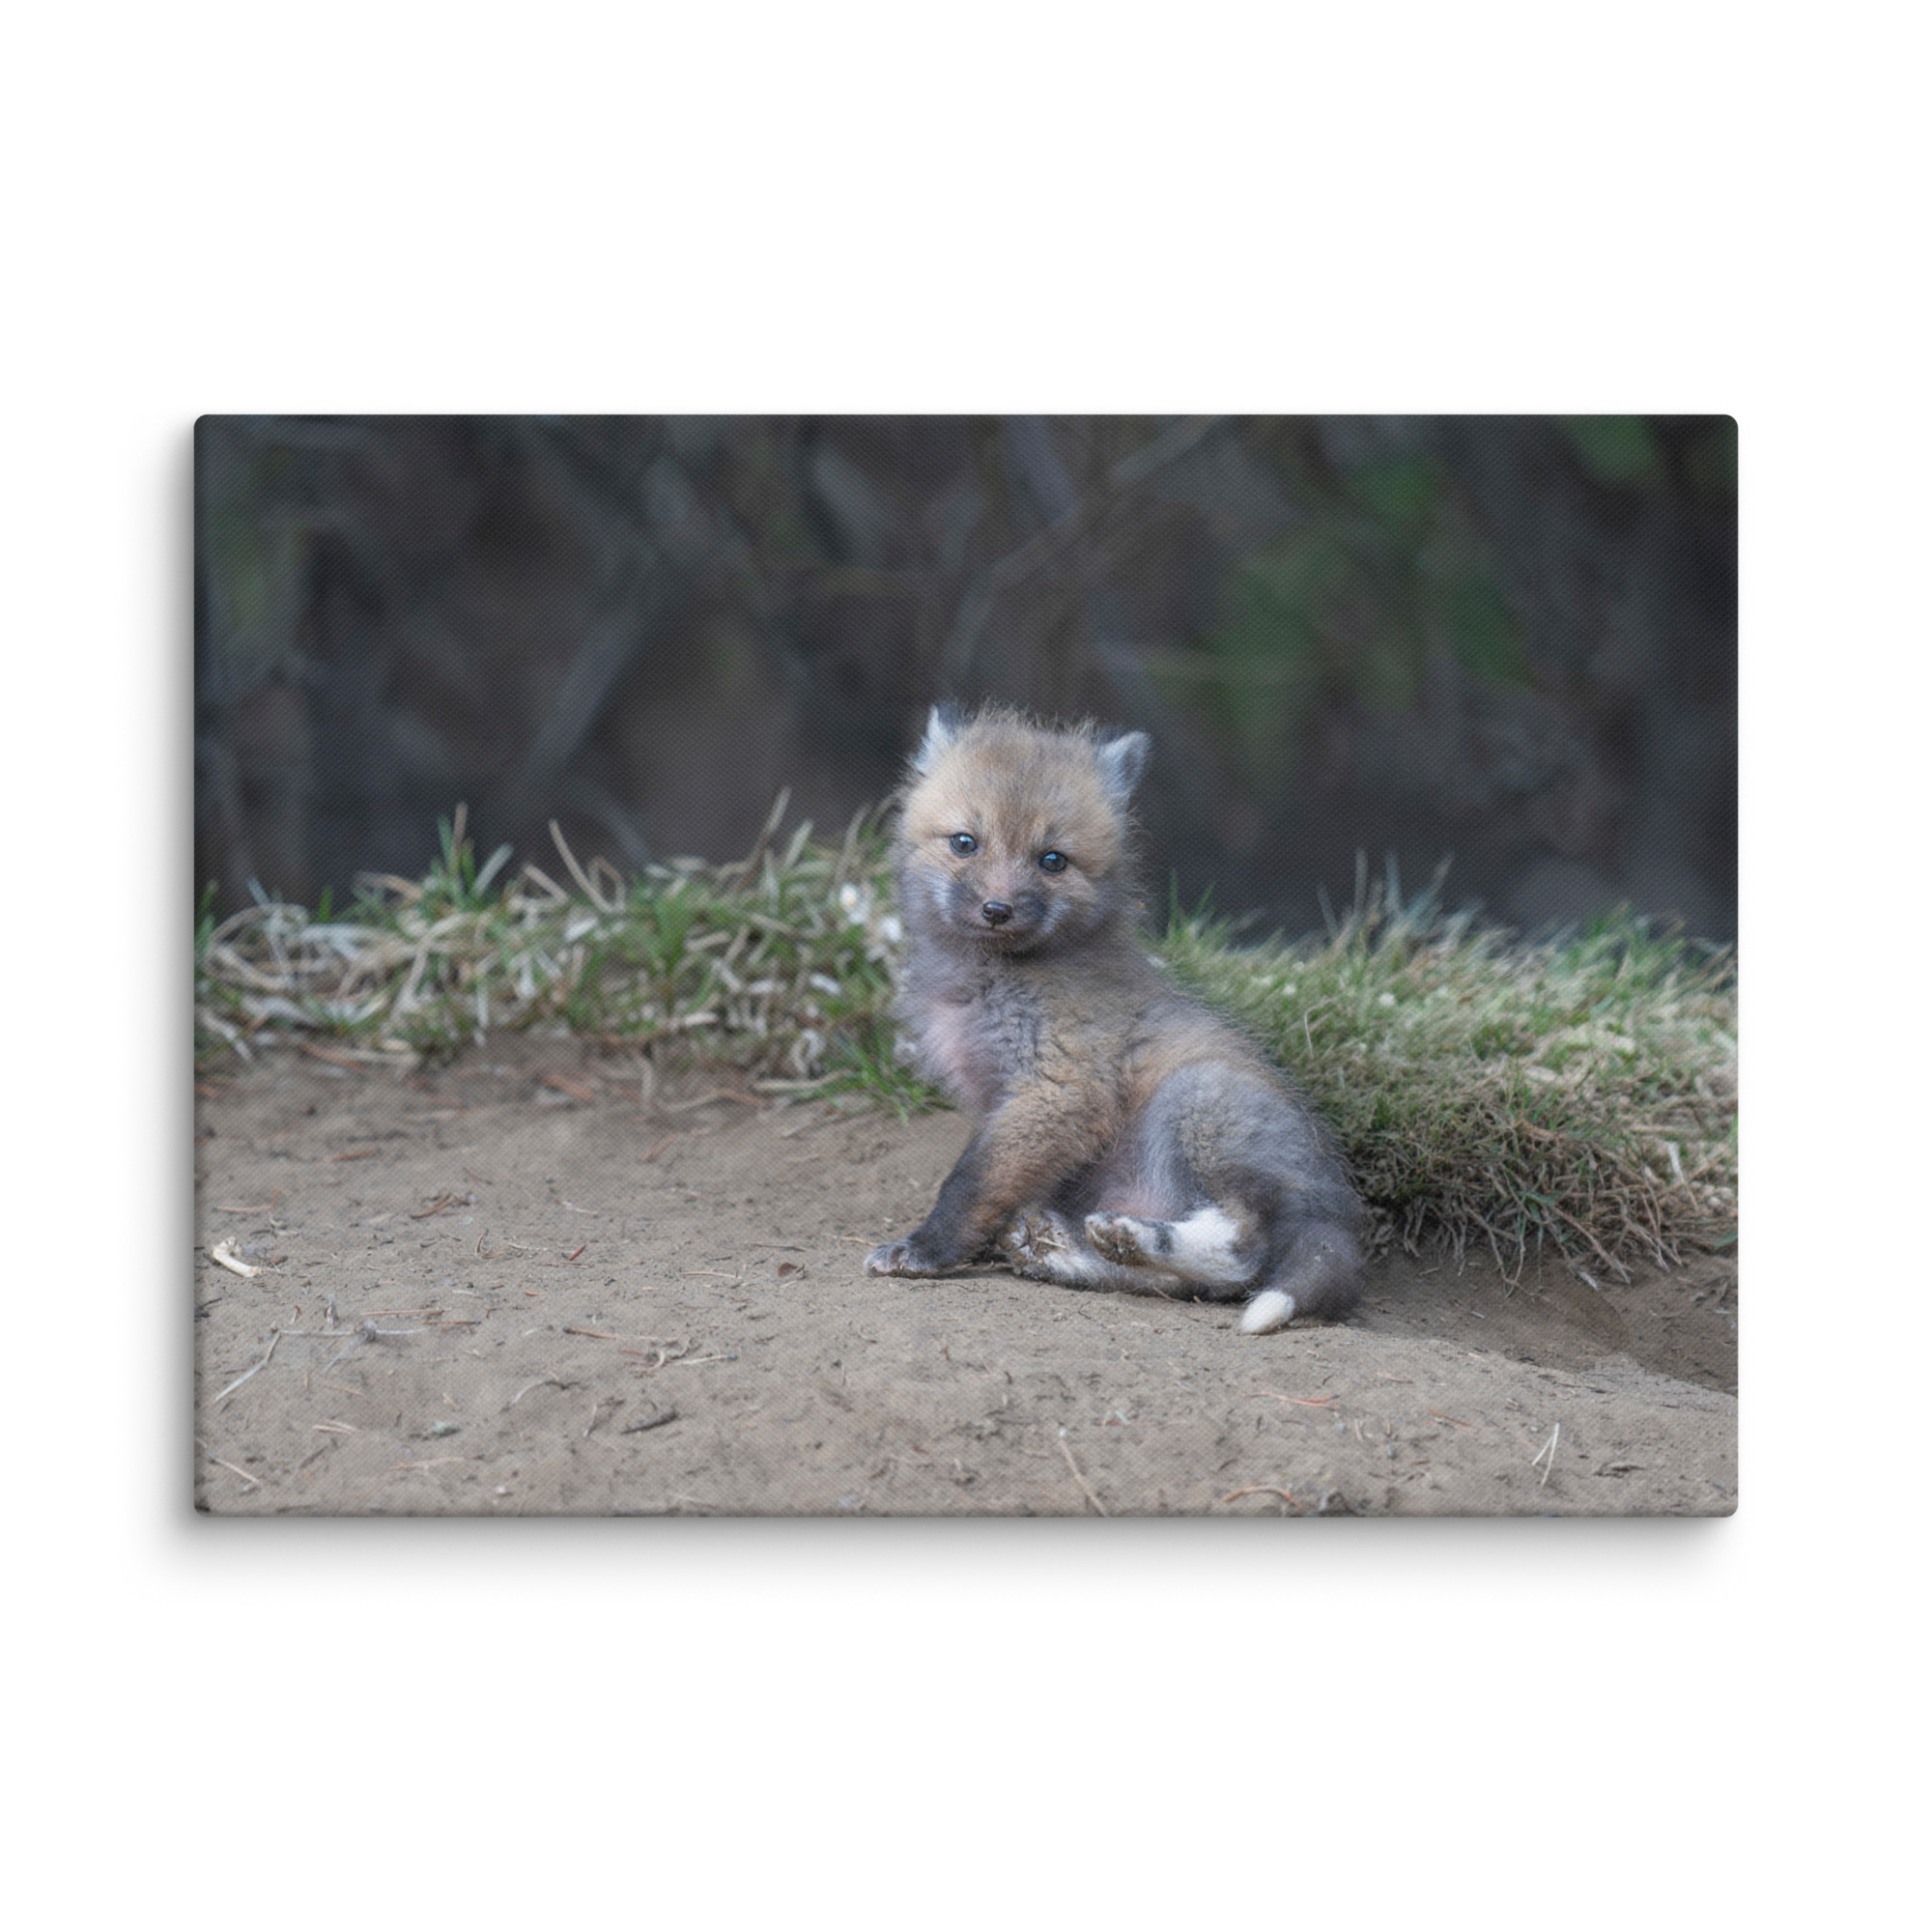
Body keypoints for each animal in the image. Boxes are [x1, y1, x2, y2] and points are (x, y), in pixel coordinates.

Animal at [863, 705, 1363, 1335]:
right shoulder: (1006, 1101)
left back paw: (1132, 1237)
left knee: (1243, 1251)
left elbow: (971, 1183)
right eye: (964, 843)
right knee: (1185, 1285)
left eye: (1053, 860)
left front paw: (926, 1249)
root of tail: (1336, 1211)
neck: (989, 982)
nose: (997, 910)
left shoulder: (1060, 1089)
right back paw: (1069, 1251)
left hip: (1196, 1100)